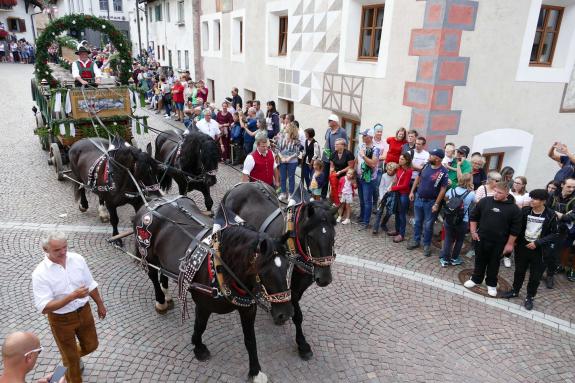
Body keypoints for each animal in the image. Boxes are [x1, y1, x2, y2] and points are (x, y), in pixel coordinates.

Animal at [134, 196, 292, 382]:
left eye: (289, 266)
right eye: (264, 272)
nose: (285, 314)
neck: (222, 267)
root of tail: (151, 202)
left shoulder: (248, 309)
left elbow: (250, 340)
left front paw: (255, 371)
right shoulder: (203, 306)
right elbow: (200, 326)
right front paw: (198, 347)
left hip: (161, 259)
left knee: (161, 272)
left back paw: (167, 296)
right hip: (148, 254)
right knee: (153, 276)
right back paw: (161, 301)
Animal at [220, 182, 338, 362]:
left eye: (333, 236)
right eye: (311, 237)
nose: (324, 279)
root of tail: (240, 185)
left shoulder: (297, 286)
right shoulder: (291, 288)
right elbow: (297, 315)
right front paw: (303, 345)